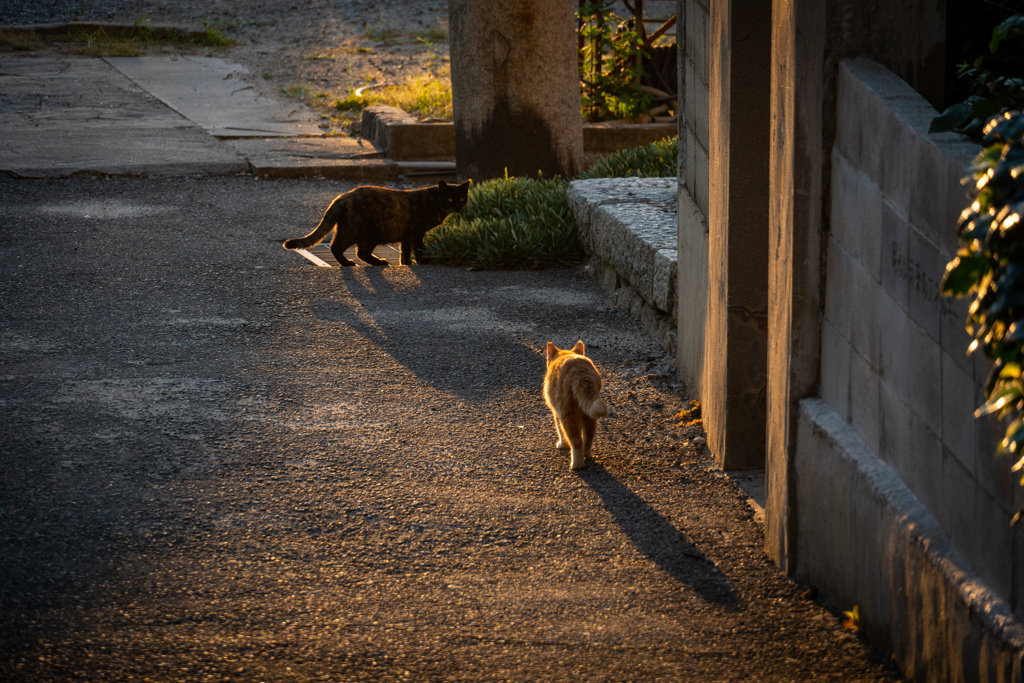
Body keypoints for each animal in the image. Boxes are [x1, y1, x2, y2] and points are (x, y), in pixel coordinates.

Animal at [544, 342, 606, 471]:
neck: (565, 354)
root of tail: (580, 373)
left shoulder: (556, 413)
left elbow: (560, 430)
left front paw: (562, 445)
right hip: (589, 413)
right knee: (588, 437)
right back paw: (586, 455)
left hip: (567, 412)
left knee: (576, 441)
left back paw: (576, 465)